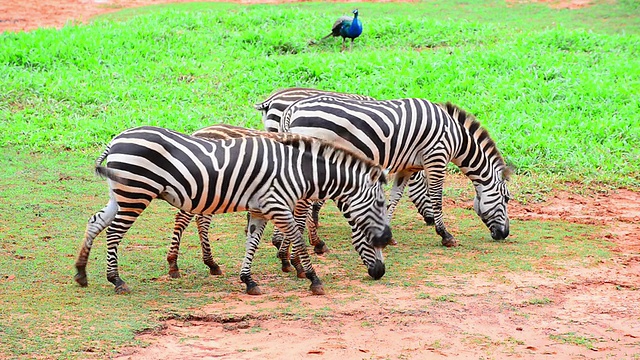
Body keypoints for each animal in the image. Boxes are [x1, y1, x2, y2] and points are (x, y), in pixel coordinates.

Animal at [74, 126, 390, 296]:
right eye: (380, 205)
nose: (380, 273)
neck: (298, 171)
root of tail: (116, 140)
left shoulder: (261, 209)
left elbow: (252, 242)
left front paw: (248, 280)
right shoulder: (279, 206)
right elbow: (298, 241)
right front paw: (313, 278)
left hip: (121, 194)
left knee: (95, 222)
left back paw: (81, 273)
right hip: (136, 194)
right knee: (114, 233)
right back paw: (116, 280)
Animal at [280, 94, 510, 249]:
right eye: (507, 198)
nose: (505, 234)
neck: (457, 138)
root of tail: (294, 107)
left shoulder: (407, 167)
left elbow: (395, 199)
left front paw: (387, 235)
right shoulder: (436, 158)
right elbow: (436, 198)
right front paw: (445, 235)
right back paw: (314, 243)